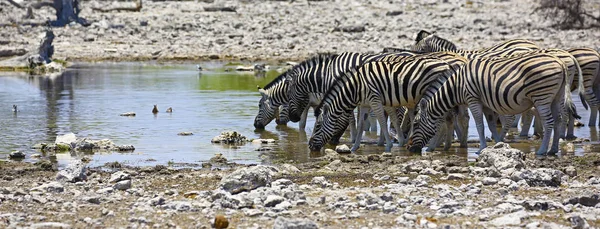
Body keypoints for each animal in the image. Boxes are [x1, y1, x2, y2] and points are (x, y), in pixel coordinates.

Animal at [310, 55, 454, 152]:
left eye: (317, 126)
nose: (310, 146)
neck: (356, 87)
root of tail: (446, 64)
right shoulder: (365, 104)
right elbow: (361, 125)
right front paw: (354, 148)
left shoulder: (375, 100)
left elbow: (382, 122)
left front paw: (388, 146)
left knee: (442, 119)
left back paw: (433, 146)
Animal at [408, 52, 580, 155]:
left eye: (415, 124)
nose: (410, 149)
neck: (457, 86)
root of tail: (560, 62)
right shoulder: (485, 104)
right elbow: (490, 125)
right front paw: (499, 145)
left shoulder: (473, 99)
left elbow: (480, 125)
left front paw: (482, 148)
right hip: (556, 96)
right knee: (558, 120)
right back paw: (553, 149)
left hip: (542, 96)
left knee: (549, 122)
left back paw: (542, 150)